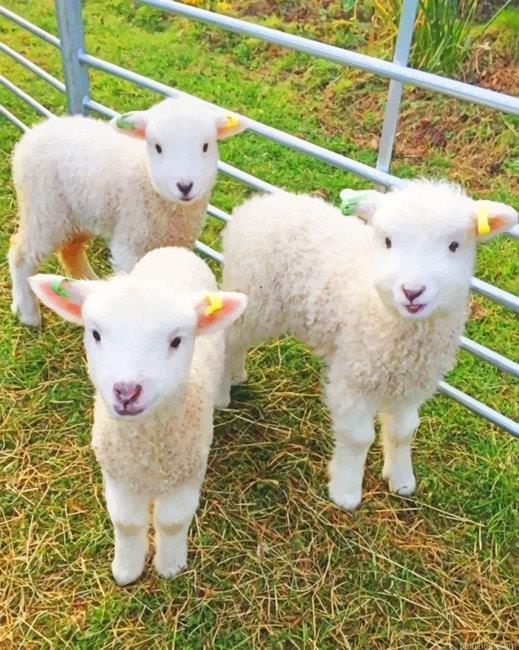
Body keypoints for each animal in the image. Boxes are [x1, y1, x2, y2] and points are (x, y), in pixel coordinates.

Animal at [9, 97, 248, 327]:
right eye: (158, 147)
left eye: (206, 146)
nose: (185, 186)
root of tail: (35, 131)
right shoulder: (129, 241)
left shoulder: (176, 242)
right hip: (44, 208)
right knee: (21, 254)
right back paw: (28, 313)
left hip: (78, 211)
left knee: (70, 250)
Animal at [29, 246, 247, 585]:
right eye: (95, 334)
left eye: (176, 340)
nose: (126, 391)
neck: (147, 447)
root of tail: (173, 250)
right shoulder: (119, 475)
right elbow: (126, 522)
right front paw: (126, 571)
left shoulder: (187, 472)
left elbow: (173, 521)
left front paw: (170, 567)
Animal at [219, 180, 517, 511]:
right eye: (387, 241)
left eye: (454, 245)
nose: (412, 291)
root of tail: (257, 203)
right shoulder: (353, 376)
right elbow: (358, 437)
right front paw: (346, 493)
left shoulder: (411, 385)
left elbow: (404, 431)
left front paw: (402, 481)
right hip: (252, 295)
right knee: (227, 339)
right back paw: (221, 394)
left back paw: (236, 375)